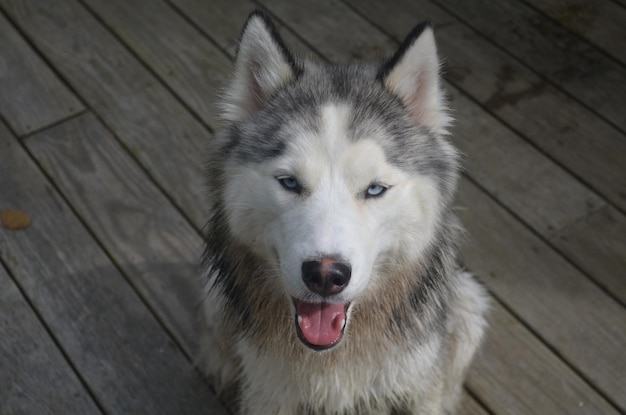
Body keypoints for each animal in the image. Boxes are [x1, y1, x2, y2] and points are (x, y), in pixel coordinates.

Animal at [200, 9, 488, 415]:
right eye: (289, 182)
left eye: (375, 189)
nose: (325, 275)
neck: (333, 356)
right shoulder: (268, 391)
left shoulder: (420, 385)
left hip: (468, 305)